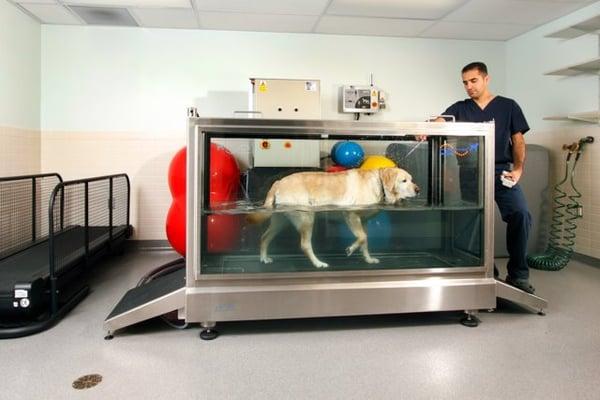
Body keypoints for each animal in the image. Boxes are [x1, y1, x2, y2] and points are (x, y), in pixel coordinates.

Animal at [246, 167, 420, 268]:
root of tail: (278, 182)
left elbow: (365, 241)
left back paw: (264, 258)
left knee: (264, 237)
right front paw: (350, 249)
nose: (418, 190)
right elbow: (362, 237)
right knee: (304, 245)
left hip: (280, 220)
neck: (379, 183)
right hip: (307, 217)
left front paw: (368, 259)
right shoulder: (350, 214)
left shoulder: (363, 221)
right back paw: (318, 263)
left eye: (412, 179)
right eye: (404, 181)